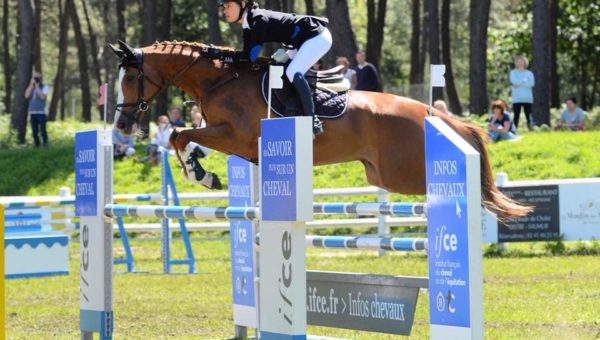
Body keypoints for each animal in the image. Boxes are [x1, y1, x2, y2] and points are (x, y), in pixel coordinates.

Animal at [108, 40, 528, 220]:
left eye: (129, 78)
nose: (121, 125)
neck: (219, 79)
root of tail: (435, 114)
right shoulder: (232, 139)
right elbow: (184, 137)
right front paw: (203, 171)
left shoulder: (236, 135)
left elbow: (180, 135)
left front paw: (201, 174)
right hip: (384, 174)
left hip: (401, 174)